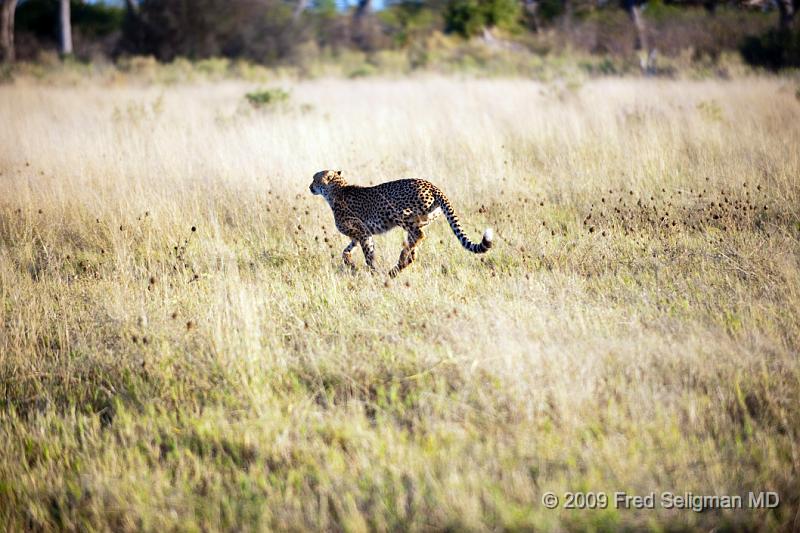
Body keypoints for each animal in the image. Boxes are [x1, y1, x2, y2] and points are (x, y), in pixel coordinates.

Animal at [310, 169, 494, 278]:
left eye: (315, 179)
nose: (310, 186)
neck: (336, 189)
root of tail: (431, 185)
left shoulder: (362, 232)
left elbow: (369, 255)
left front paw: (372, 272)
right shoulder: (360, 235)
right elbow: (346, 252)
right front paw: (351, 264)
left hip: (395, 211)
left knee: (419, 236)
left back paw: (400, 260)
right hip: (418, 221)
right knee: (415, 246)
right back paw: (400, 264)